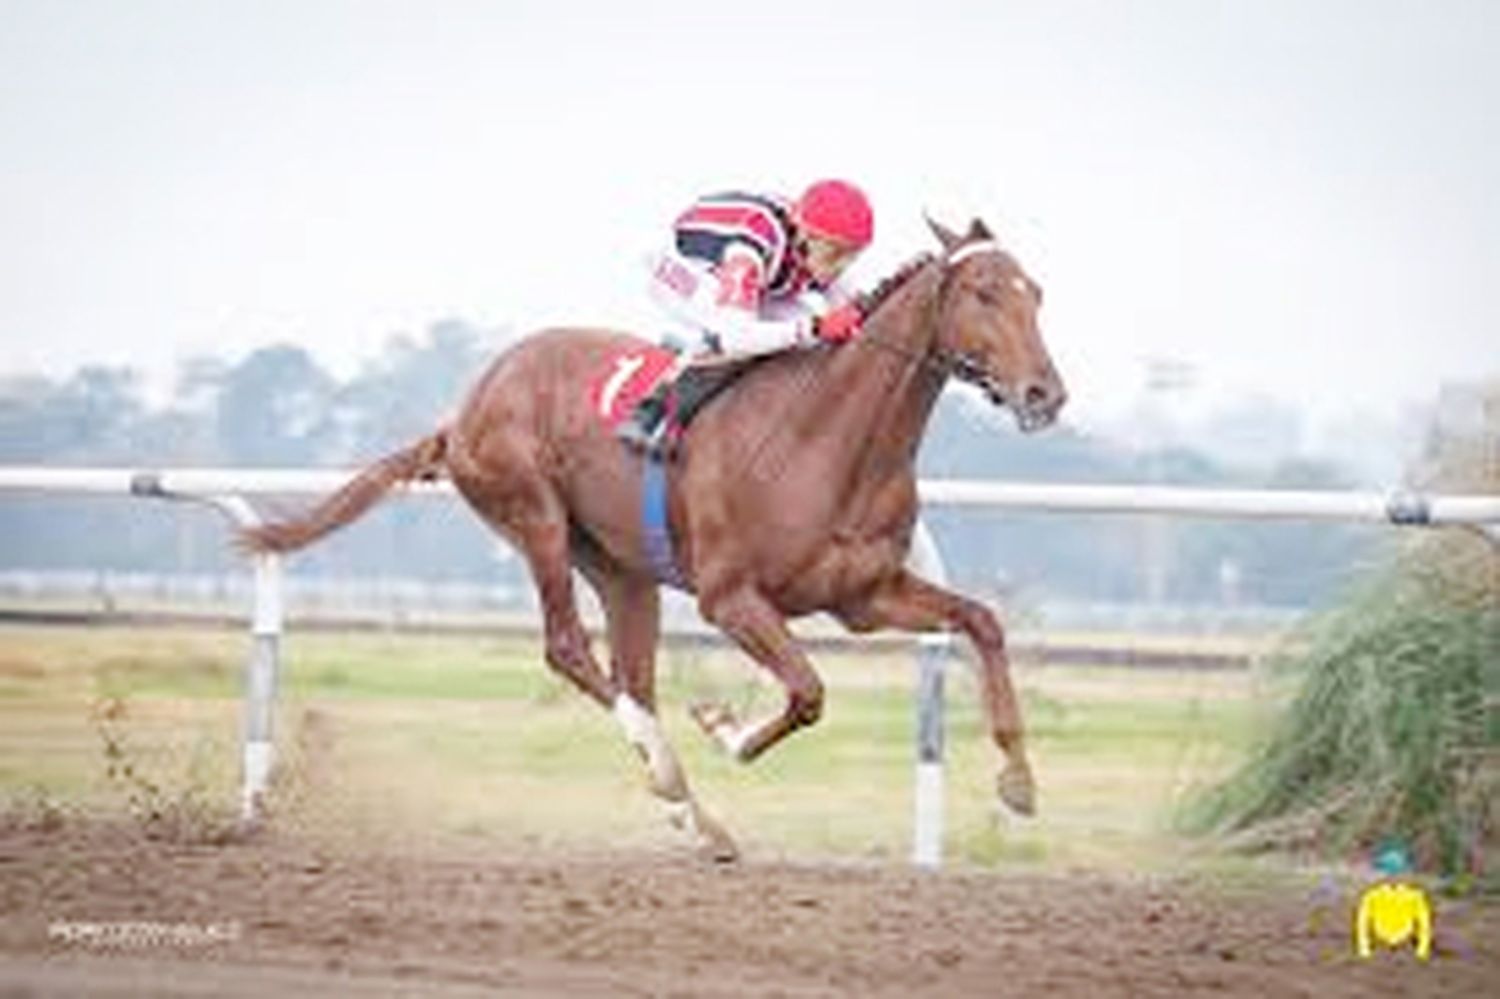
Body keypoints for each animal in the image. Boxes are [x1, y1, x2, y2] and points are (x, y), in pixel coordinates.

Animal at [243, 216, 1068, 858]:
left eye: (1036, 292)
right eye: (983, 291)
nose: (1045, 394)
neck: (829, 440)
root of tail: (464, 409)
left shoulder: (866, 596)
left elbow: (983, 621)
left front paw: (1019, 779)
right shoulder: (729, 597)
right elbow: (807, 690)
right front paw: (725, 728)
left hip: (622, 570)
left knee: (628, 673)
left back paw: (693, 816)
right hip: (535, 514)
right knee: (568, 648)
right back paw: (672, 779)